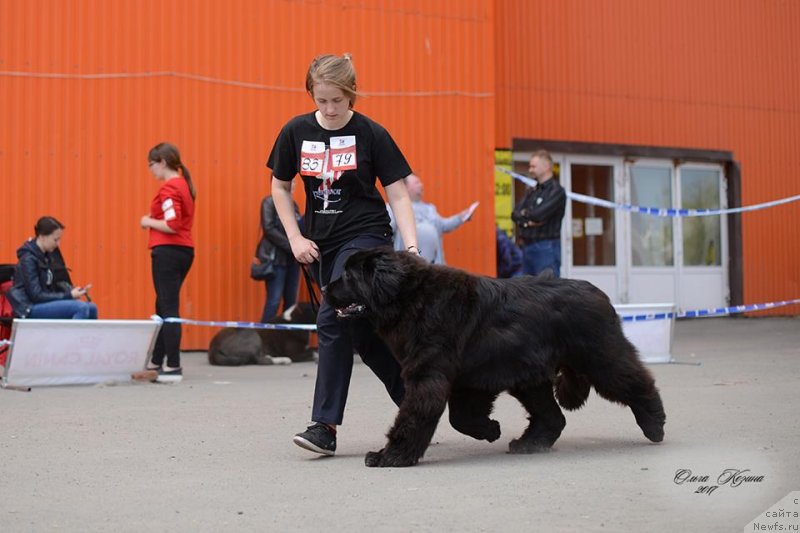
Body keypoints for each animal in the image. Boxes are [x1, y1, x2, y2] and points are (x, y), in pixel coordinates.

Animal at [322, 248, 664, 466]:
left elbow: (414, 417)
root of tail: (599, 293)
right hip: (530, 378)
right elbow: (460, 417)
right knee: (553, 416)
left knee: (637, 381)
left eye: (349, 275)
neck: (411, 299)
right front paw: (490, 430)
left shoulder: (428, 377)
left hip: (601, 358)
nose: (325, 287)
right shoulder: (467, 382)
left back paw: (654, 424)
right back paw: (529, 444)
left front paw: (390, 456)